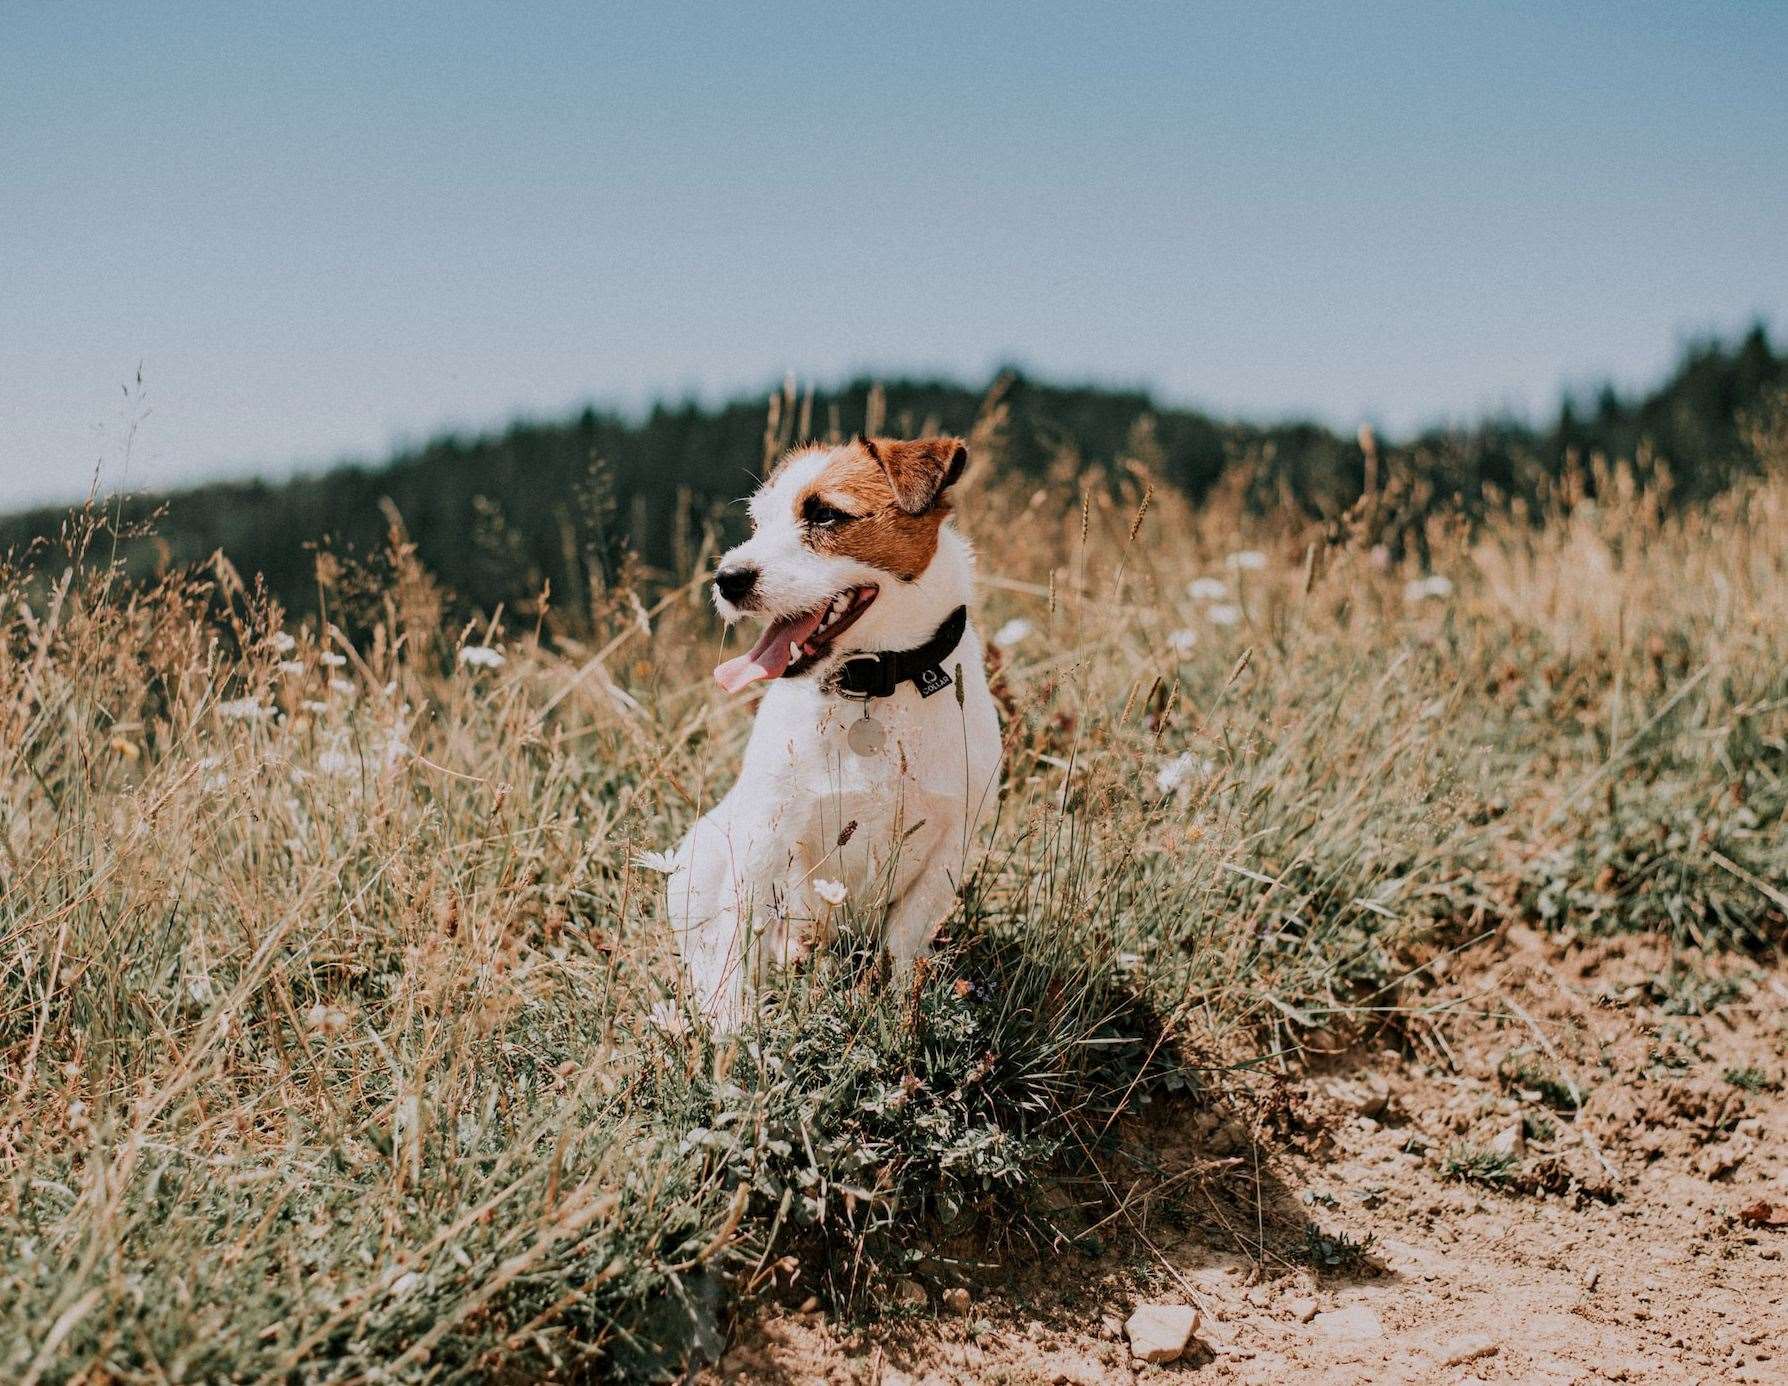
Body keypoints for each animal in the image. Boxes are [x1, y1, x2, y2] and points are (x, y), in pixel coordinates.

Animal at [668, 432, 1008, 1030]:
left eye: (825, 514)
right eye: (758, 522)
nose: (726, 580)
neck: (875, 686)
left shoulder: (950, 844)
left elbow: (902, 943)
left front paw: (898, 1014)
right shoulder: (763, 834)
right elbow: (736, 938)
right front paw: (732, 1025)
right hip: (699, 857)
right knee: (707, 943)